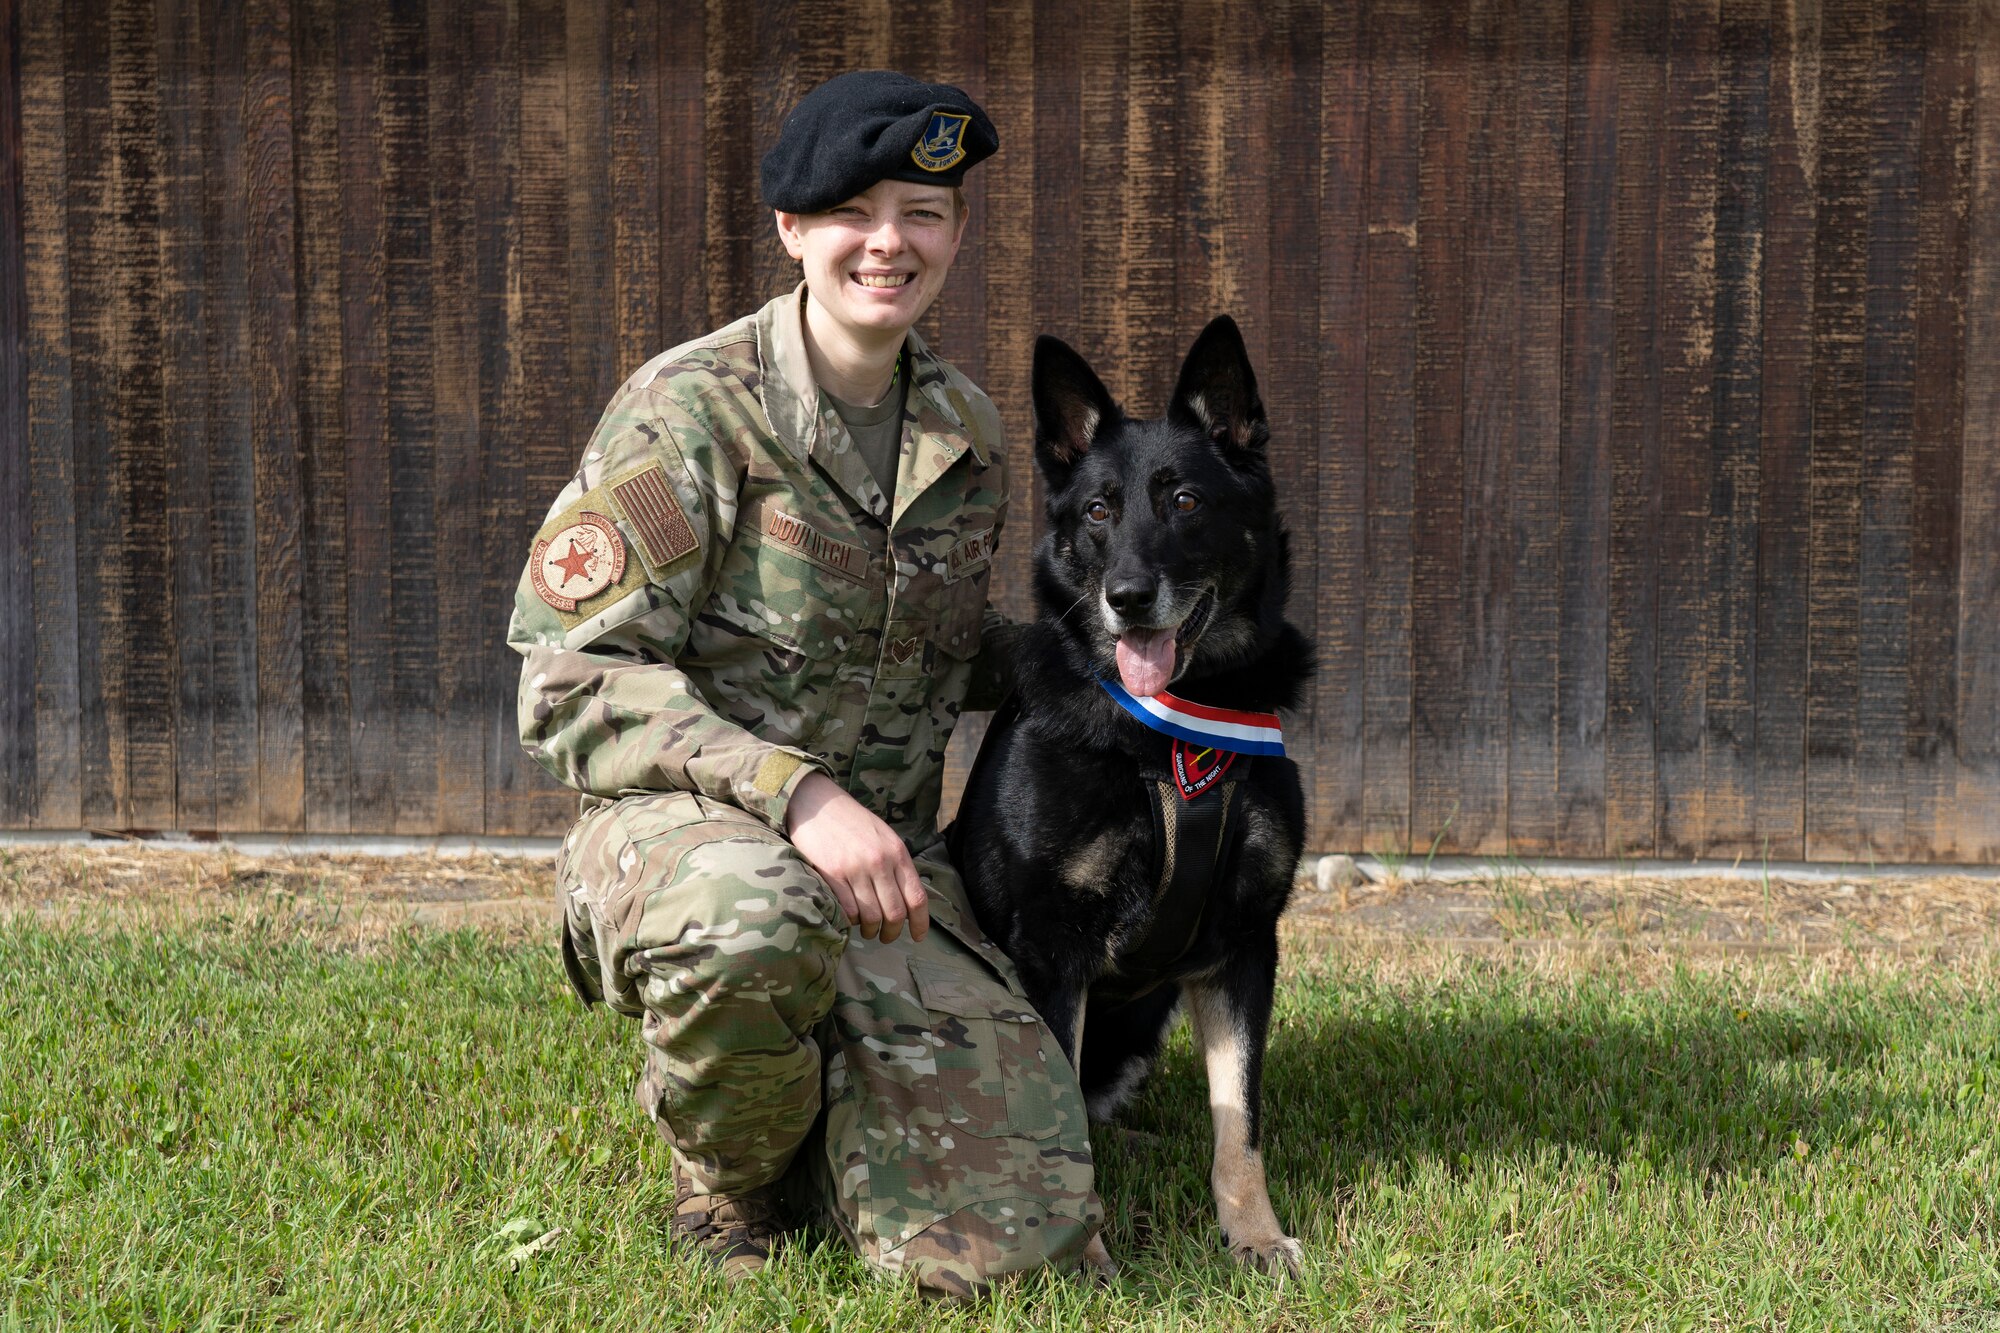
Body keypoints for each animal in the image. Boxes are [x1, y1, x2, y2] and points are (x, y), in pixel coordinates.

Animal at [952, 316, 1312, 1272]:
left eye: (1184, 500)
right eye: (1098, 511)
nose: (1127, 597)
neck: (1168, 738)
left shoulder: (1243, 949)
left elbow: (1239, 1125)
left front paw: (1253, 1236)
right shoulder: (1052, 950)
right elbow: (1060, 1125)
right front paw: (1084, 1257)